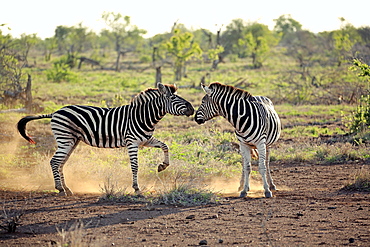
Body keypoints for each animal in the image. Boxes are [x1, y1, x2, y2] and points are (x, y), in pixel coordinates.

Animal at [18, 84, 194, 196]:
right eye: (173, 98)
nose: (192, 109)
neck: (143, 116)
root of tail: (55, 112)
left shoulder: (146, 140)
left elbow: (165, 146)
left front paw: (162, 166)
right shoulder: (132, 142)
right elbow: (135, 166)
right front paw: (137, 189)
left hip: (72, 141)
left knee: (61, 163)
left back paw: (66, 188)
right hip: (65, 139)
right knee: (55, 161)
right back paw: (60, 189)